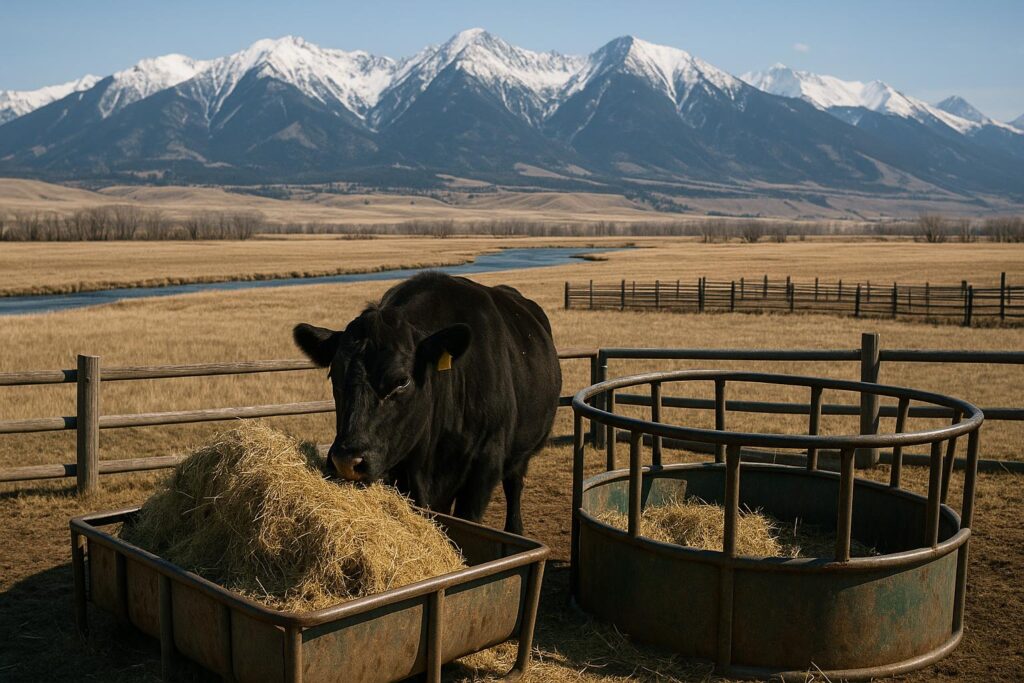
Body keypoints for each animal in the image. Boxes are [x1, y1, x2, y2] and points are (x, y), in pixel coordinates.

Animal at [292, 272, 561, 535]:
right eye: (333, 375)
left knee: (514, 485)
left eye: (402, 381)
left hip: (522, 450)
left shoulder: (485, 466)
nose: (346, 461)